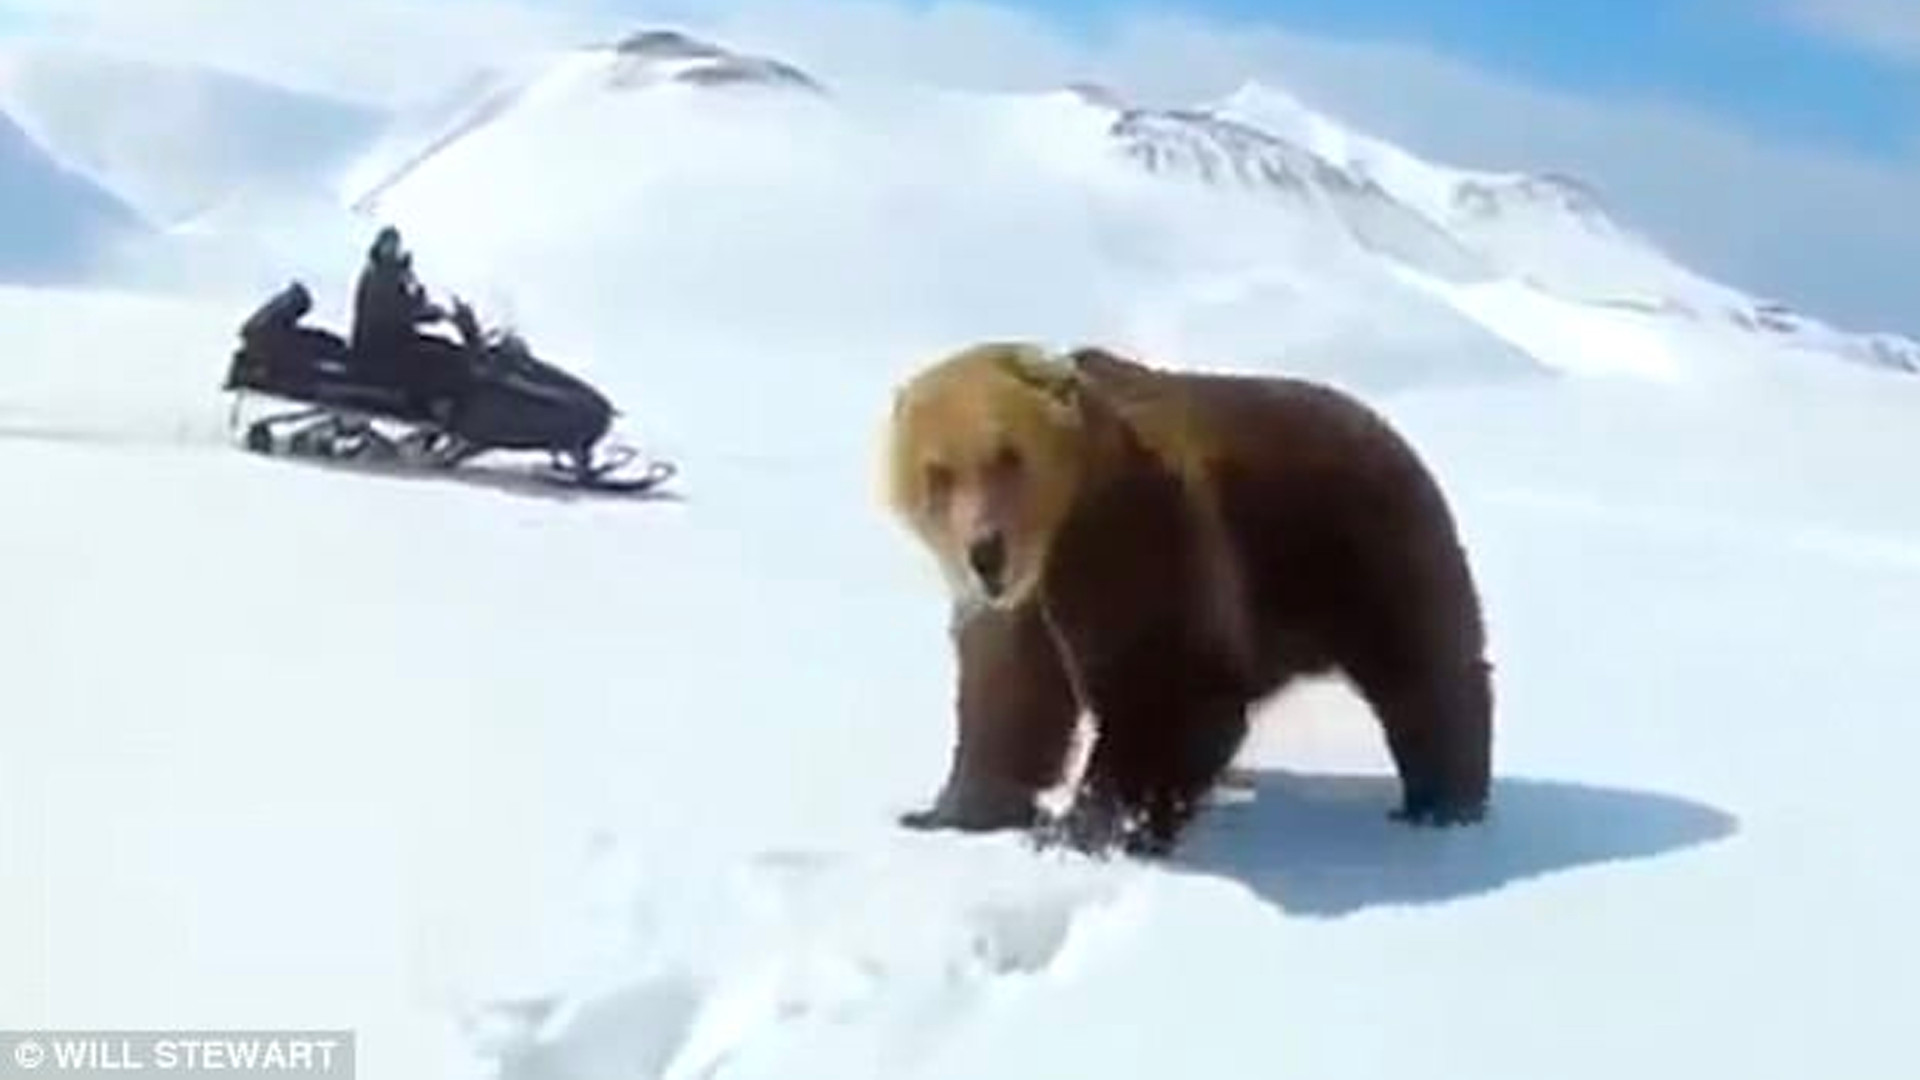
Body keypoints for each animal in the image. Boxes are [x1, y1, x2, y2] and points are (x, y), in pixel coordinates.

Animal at [884, 340, 1493, 856]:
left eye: (1008, 455)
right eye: (938, 472)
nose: (986, 551)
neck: (1055, 545)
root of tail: (1386, 426)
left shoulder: (1141, 545)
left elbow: (1169, 694)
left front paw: (1091, 828)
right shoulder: (1015, 614)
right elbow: (1006, 703)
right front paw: (947, 814)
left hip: (1362, 549)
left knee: (1426, 673)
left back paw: (1440, 803)